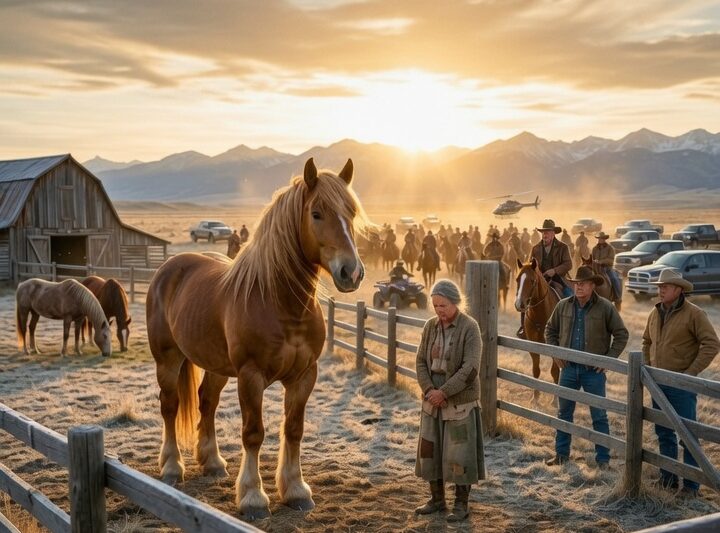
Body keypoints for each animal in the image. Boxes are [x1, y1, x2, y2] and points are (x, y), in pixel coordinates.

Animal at [145, 158, 366, 520]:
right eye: (316, 213)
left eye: (351, 212)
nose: (352, 272)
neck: (279, 303)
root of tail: (169, 267)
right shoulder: (251, 377)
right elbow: (253, 433)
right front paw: (253, 496)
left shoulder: (305, 376)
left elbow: (293, 430)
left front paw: (296, 490)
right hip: (168, 359)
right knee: (170, 406)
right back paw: (172, 467)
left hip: (217, 367)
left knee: (206, 402)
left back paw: (212, 461)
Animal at [514, 258, 560, 406]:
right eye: (517, 279)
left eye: (532, 281)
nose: (519, 304)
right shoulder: (533, 345)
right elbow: (536, 371)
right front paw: (535, 398)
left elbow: (555, 371)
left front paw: (555, 400)